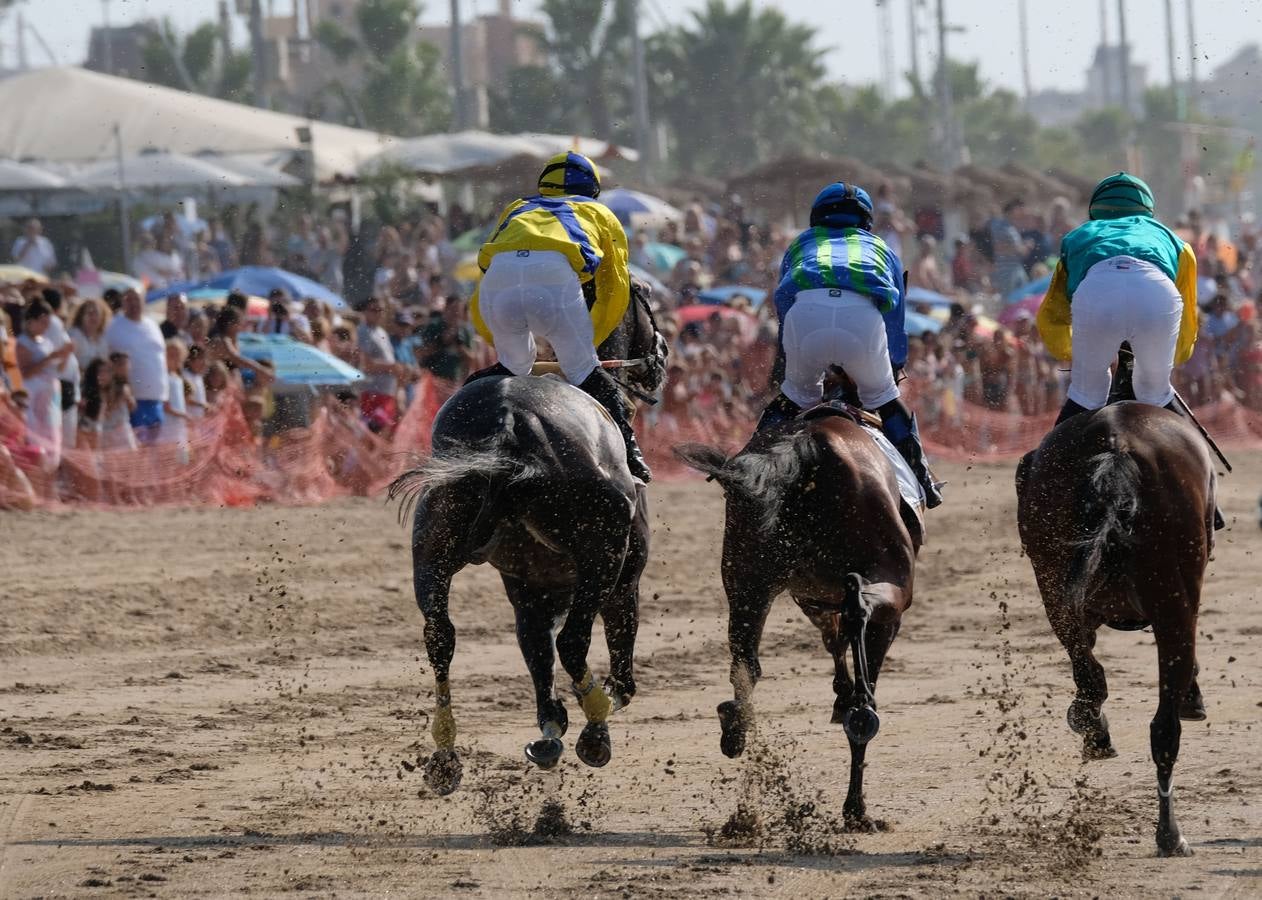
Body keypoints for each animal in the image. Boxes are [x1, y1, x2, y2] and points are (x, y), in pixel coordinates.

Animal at [388, 282, 671, 792]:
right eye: (646, 303)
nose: (661, 356)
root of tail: (509, 423)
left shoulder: (528, 587)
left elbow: (535, 651)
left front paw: (550, 726)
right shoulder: (624, 578)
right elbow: (617, 666)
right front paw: (587, 711)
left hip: (433, 548)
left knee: (440, 638)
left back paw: (445, 755)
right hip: (603, 555)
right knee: (574, 642)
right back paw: (595, 729)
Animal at [676, 396, 923, 833]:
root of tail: (803, 449)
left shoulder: (811, 598)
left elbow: (833, 641)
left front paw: (840, 695)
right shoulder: (883, 616)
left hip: (747, 581)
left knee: (746, 664)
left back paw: (736, 737)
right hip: (890, 582)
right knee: (859, 611)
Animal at [1014, 401, 1211, 858]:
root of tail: (1116, 448)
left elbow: (1089, 672)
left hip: (1057, 594)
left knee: (1093, 676)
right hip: (1173, 606)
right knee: (1163, 726)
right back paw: (1170, 833)